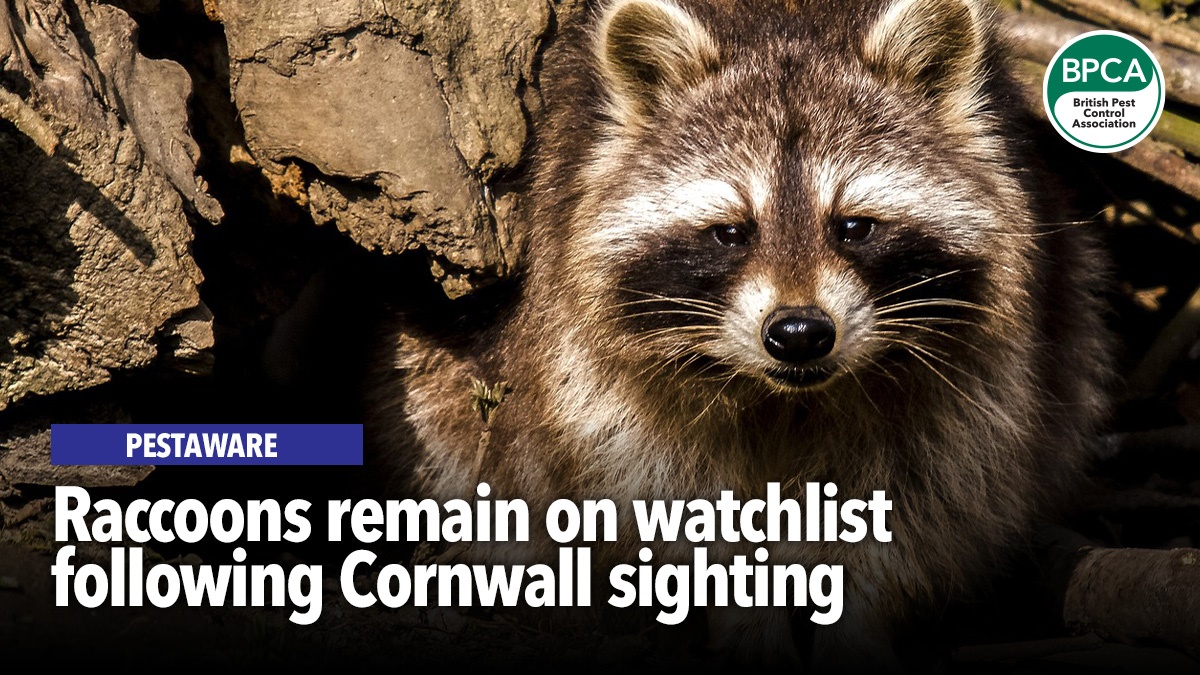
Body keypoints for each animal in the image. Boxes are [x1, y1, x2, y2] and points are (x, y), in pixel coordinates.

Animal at [369, 0, 1112, 668]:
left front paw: (858, 625)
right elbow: (669, 501)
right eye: (731, 232)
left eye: (854, 227)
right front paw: (745, 615)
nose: (800, 333)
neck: (789, 398)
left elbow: (924, 497)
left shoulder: (975, 377)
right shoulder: (598, 378)